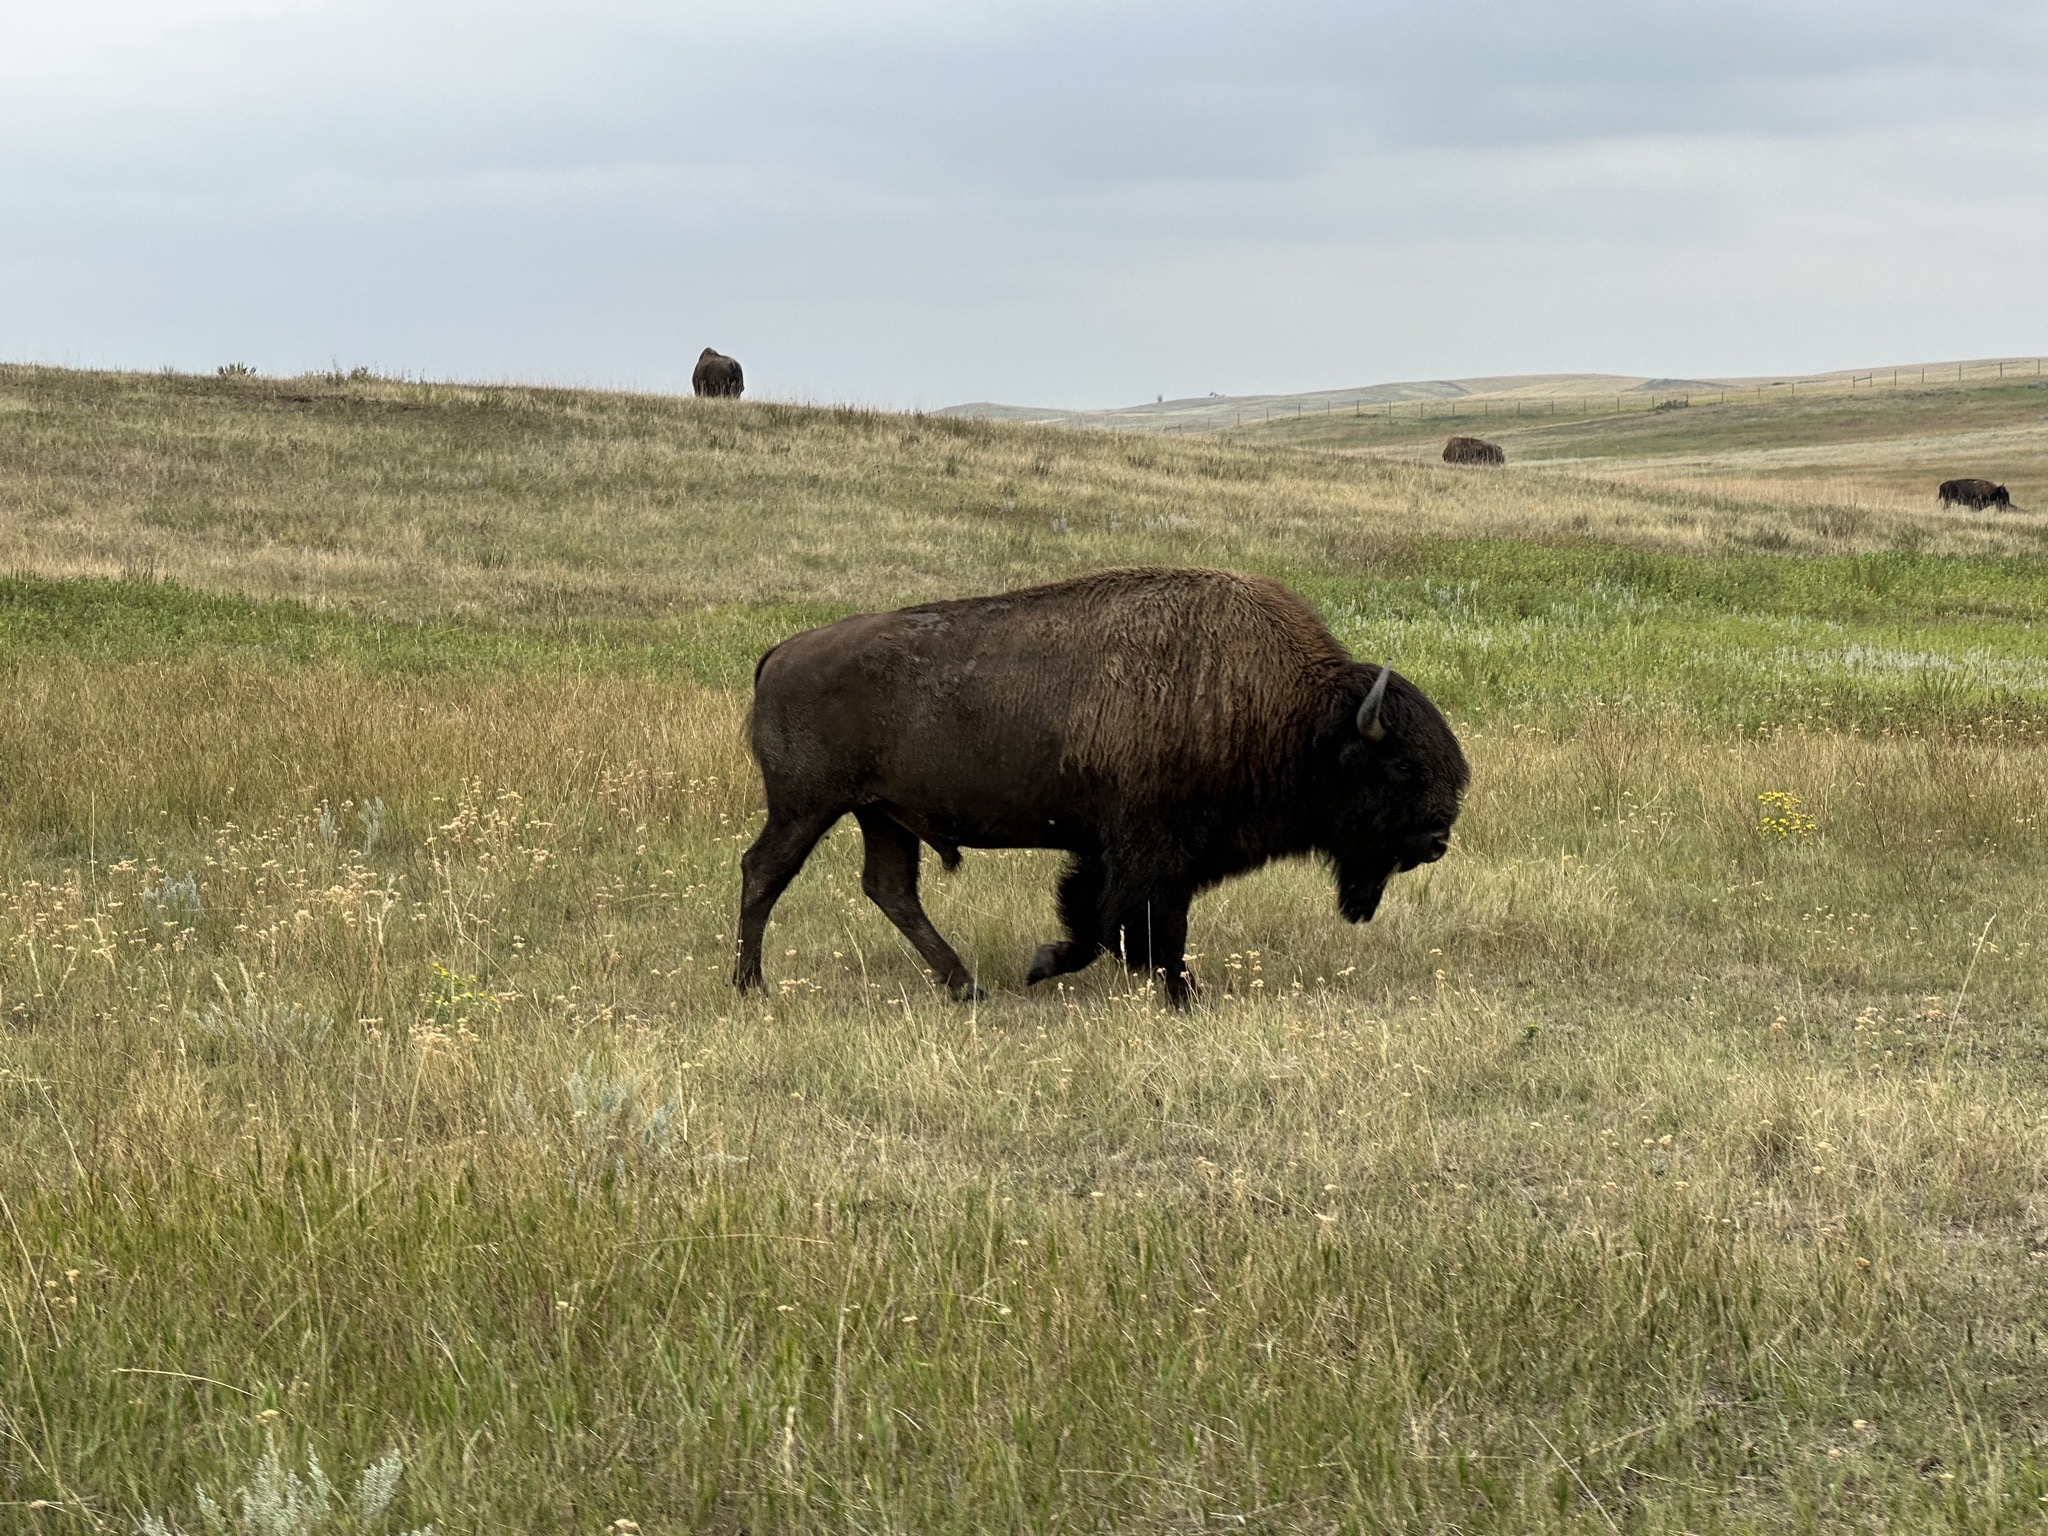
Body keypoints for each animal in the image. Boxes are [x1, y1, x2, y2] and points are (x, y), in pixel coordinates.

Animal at [733, 567, 1469, 1005]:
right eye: (1401, 767)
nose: (1437, 839)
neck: (1294, 714)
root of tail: (780, 652)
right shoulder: (1153, 850)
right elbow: (1131, 921)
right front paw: (1172, 991)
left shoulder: (1116, 851)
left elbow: (1100, 917)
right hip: (807, 806)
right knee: (764, 871)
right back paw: (751, 985)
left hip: (882, 815)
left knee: (890, 889)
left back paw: (966, 987)